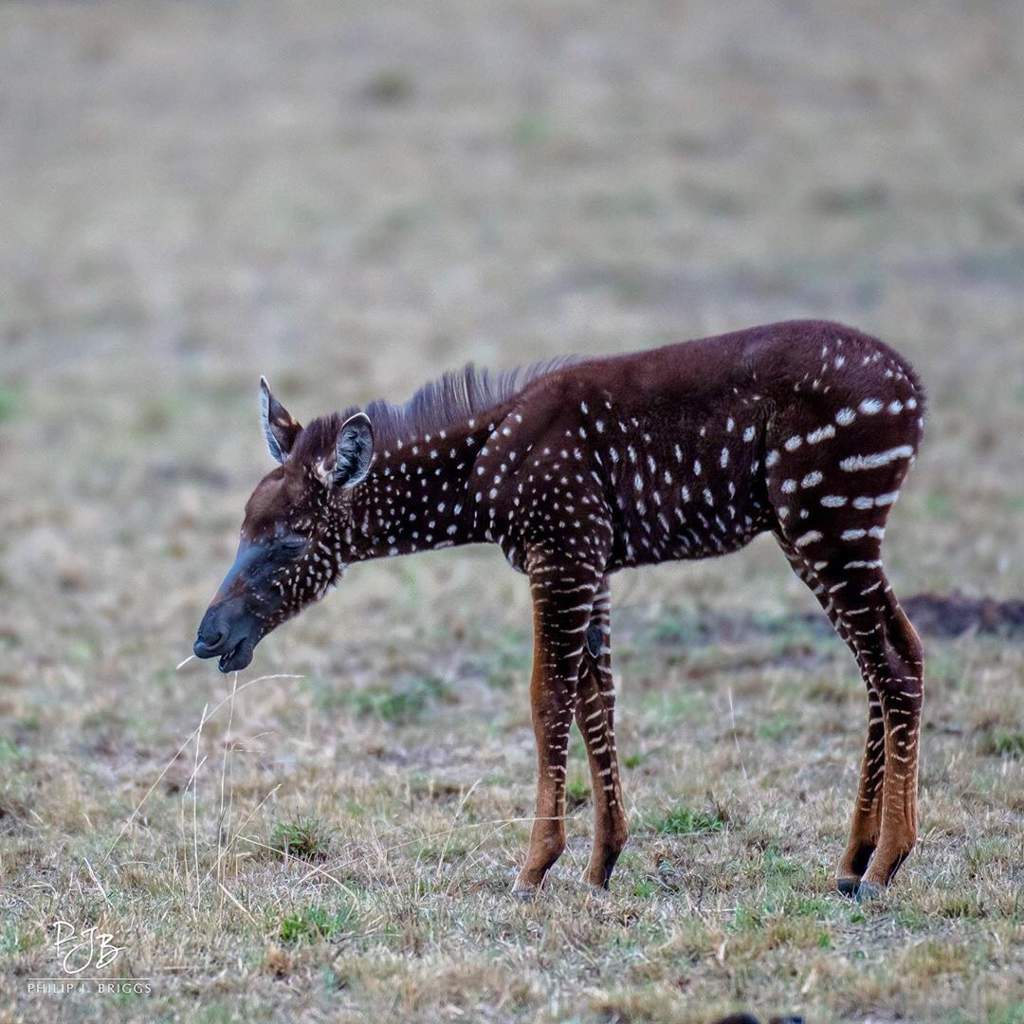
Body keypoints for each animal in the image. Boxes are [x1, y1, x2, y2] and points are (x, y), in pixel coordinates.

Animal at [193, 317, 929, 897]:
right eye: (242, 526)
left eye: (290, 541)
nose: (209, 637)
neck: (479, 490)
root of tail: (914, 394)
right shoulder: (593, 562)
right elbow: (595, 698)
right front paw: (602, 864)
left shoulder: (564, 549)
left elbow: (547, 696)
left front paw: (534, 868)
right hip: (811, 528)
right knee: (889, 657)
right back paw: (853, 858)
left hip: (830, 516)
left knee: (895, 660)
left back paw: (886, 863)